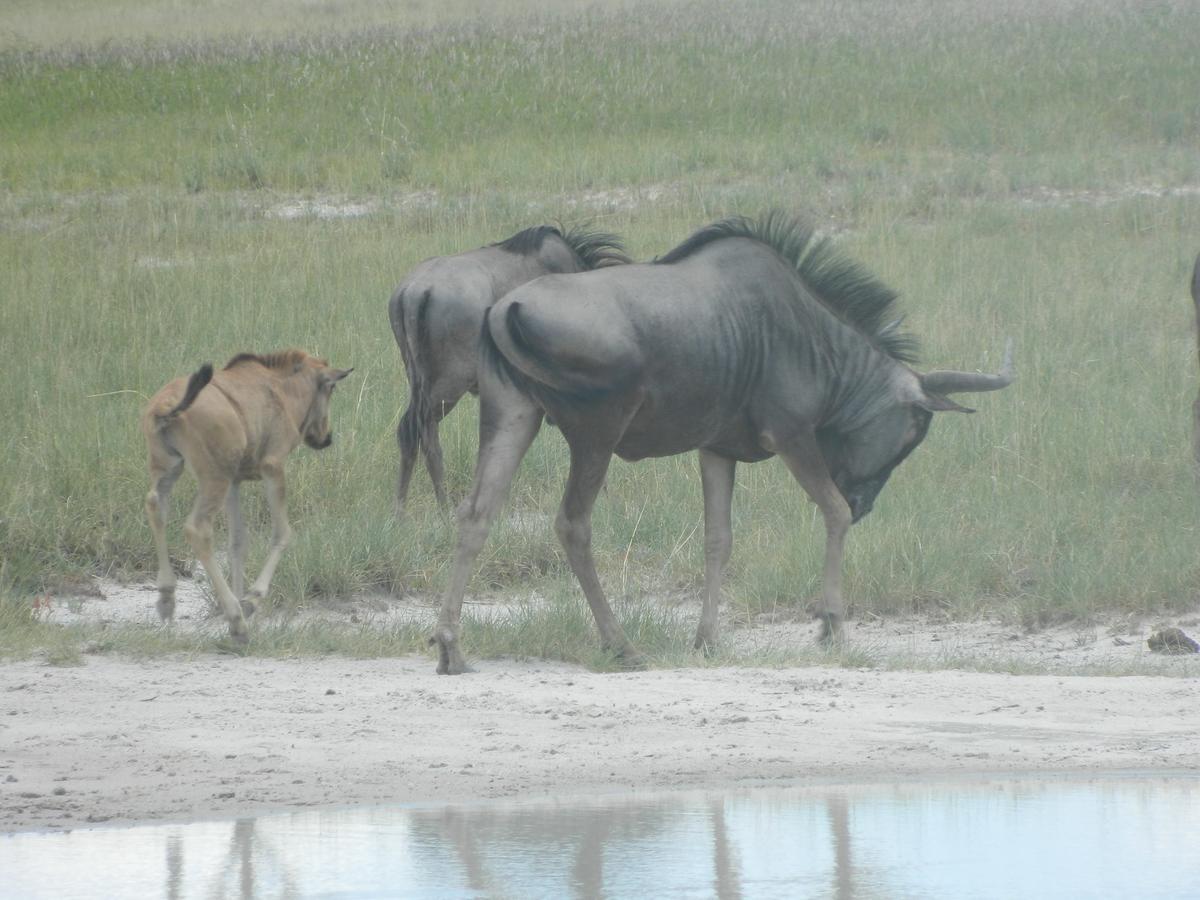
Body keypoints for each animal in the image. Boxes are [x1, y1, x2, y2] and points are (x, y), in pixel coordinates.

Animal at [142, 350, 350, 643]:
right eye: (331, 388)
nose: (326, 437)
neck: (281, 388)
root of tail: (166, 405)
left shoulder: (235, 481)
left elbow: (237, 542)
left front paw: (240, 598)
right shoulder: (272, 468)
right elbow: (283, 534)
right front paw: (250, 600)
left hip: (170, 469)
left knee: (155, 506)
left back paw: (167, 599)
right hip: (213, 478)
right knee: (197, 529)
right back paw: (236, 621)